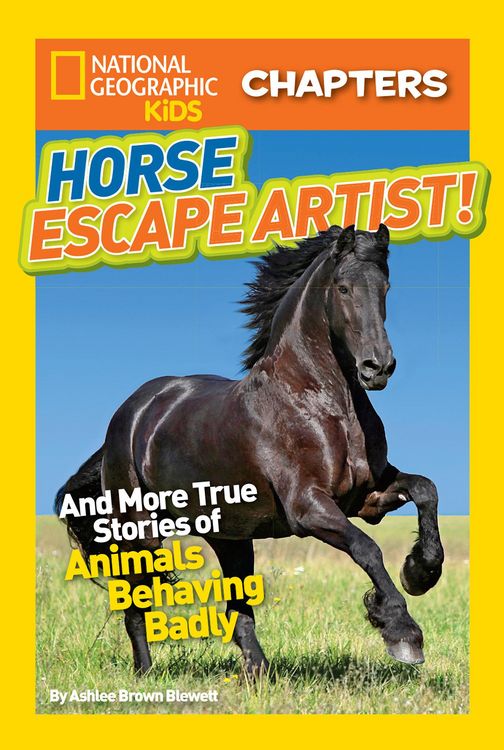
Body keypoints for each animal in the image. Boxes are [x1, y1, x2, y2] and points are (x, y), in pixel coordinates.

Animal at [56, 223, 444, 678]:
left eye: (385, 286)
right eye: (343, 288)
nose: (377, 368)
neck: (322, 404)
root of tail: (129, 414)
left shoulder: (368, 497)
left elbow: (425, 489)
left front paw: (420, 572)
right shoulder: (308, 508)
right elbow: (368, 548)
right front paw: (402, 632)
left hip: (231, 536)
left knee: (238, 611)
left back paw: (259, 674)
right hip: (141, 534)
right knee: (135, 603)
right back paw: (146, 674)